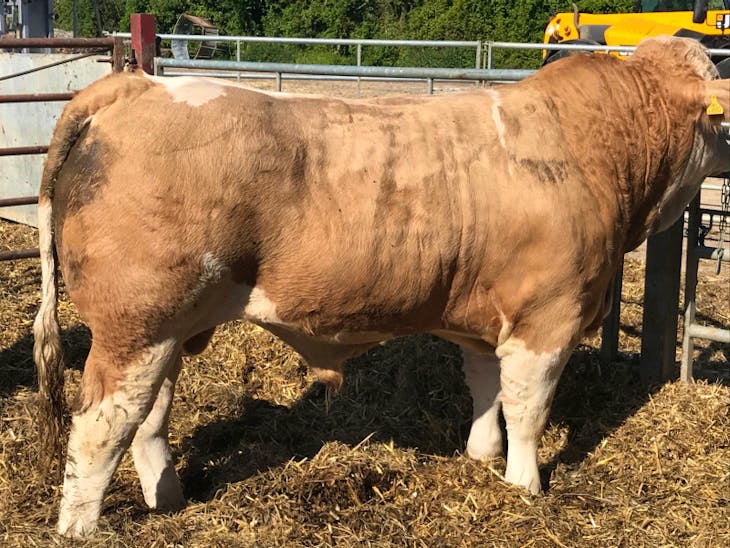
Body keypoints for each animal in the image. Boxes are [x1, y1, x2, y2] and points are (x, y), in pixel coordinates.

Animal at [32, 36, 730, 537]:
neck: (597, 146)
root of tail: (135, 85)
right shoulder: (548, 316)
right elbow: (529, 410)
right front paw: (524, 486)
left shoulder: (480, 315)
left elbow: (486, 390)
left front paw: (480, 457)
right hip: (135, 324)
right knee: (101, 424)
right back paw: (79, 528)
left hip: (169, 330)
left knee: (149, 417)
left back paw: (169, 498)